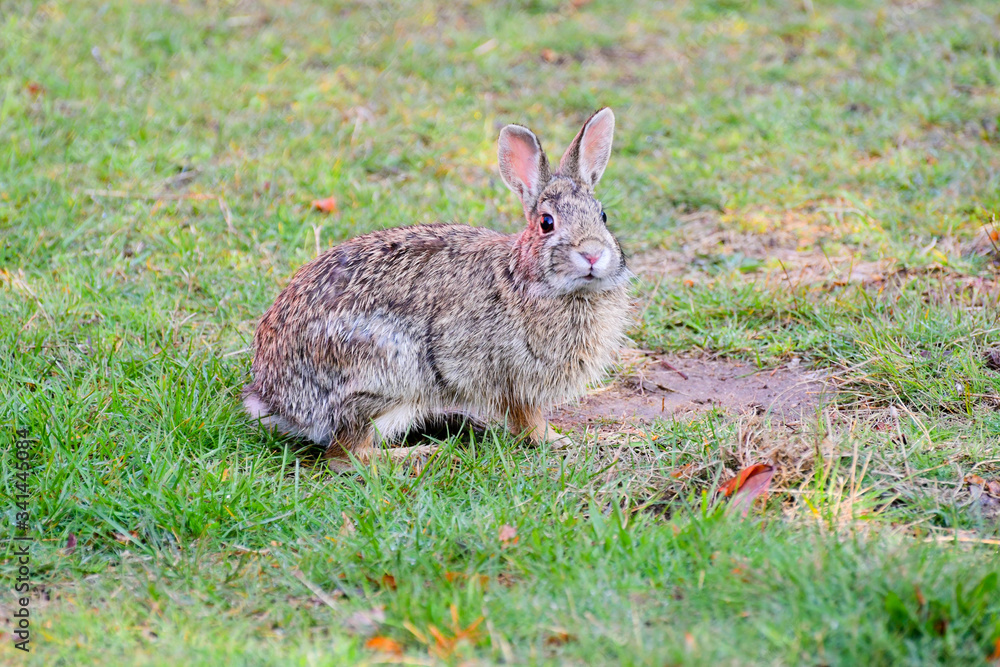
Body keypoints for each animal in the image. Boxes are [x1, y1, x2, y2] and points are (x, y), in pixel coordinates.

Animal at [243, 107, 632, 470]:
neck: (527, 276)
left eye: (603, 216)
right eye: (546, 223)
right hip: (389, 377)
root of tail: (275, 400)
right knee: (347, 455)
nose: (593, 254)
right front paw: (560, 440)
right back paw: (423, 453)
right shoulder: (514, 378)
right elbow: (529, 420)